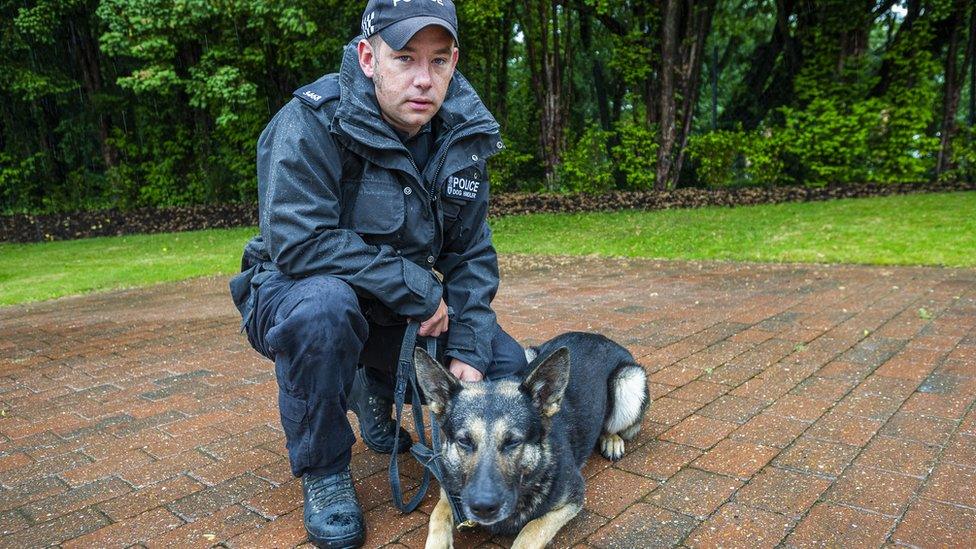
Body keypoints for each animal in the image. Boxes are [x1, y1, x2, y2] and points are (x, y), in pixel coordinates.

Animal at [412, 332, 648, 544]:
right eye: (464, 441)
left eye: (513, 442)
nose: (483, 507)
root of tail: (597, 336)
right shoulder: (448, 495)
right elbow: (437, 517)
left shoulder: (572, 498)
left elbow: (531, 530)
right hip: (529, 354)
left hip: (629, 382)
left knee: (612, 424)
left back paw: (612, 439)